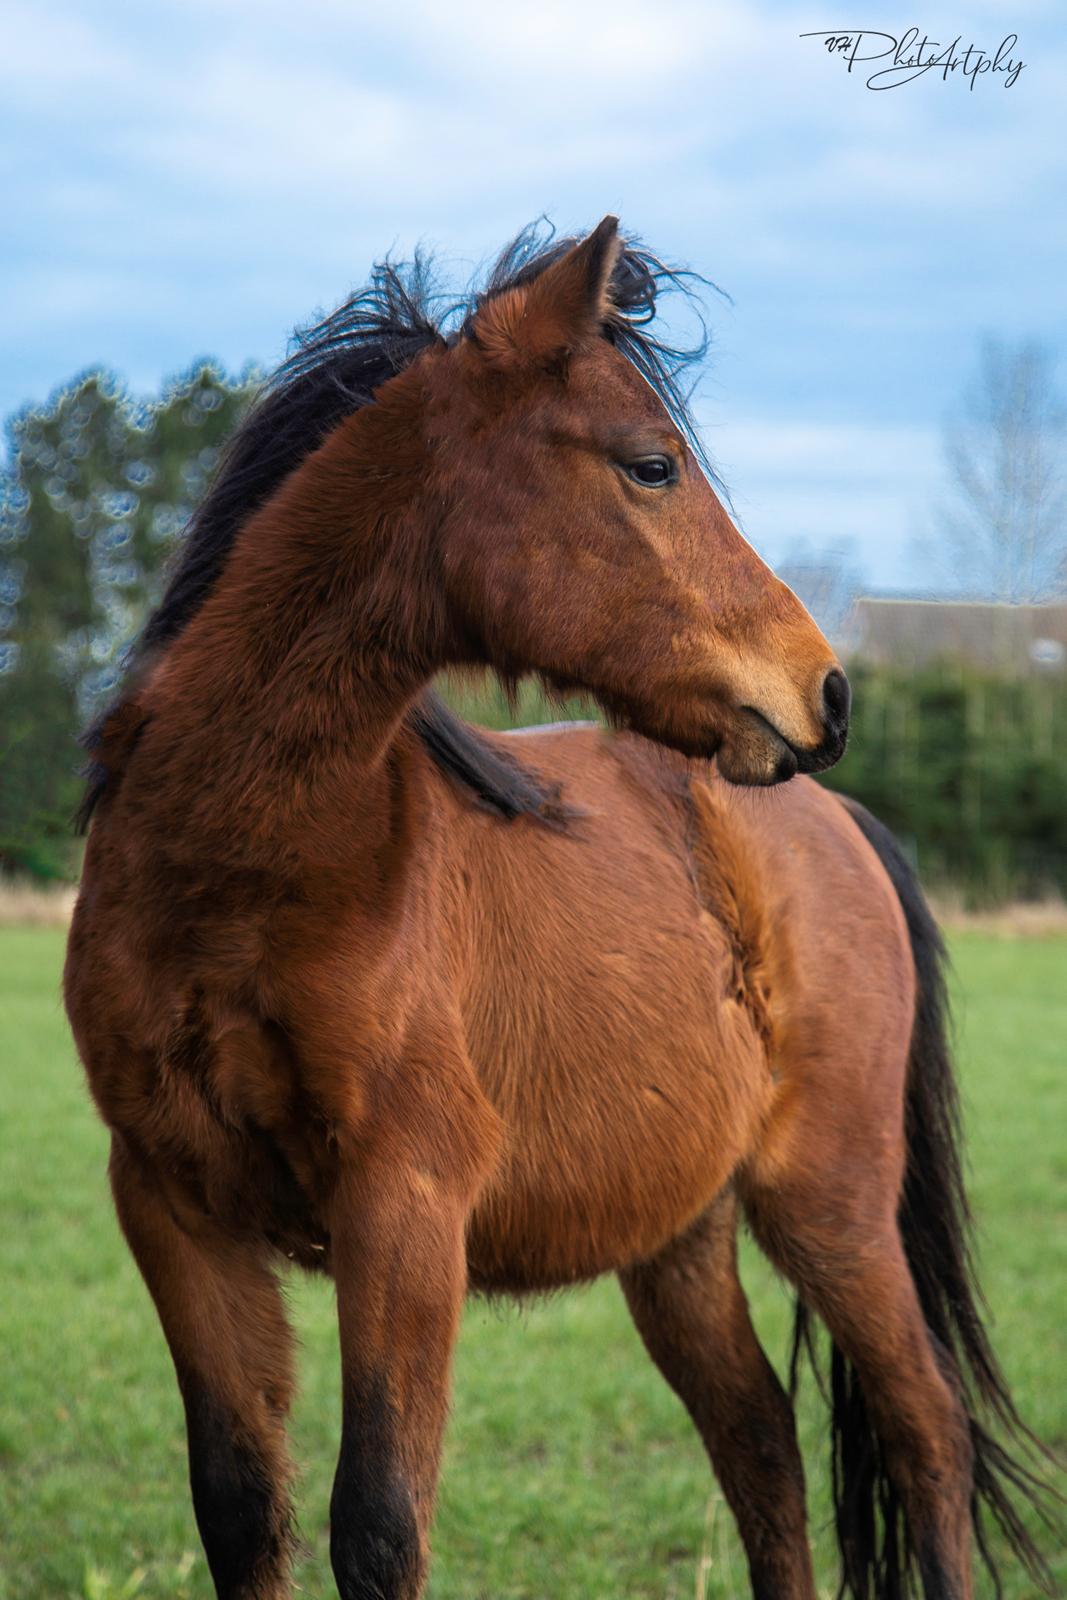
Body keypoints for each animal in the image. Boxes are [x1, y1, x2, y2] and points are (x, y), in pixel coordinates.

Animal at [64, 216, 1049, 1600]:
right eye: (649, 465)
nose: (826, 691)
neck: (237, 870)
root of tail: (837, 823)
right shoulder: (172, 1204)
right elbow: (242, 1508)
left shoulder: (405, 1211)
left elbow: (376, 1526)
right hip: (681, 1234)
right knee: (759, 1441)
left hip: (831, 1203)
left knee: (924, 1432)